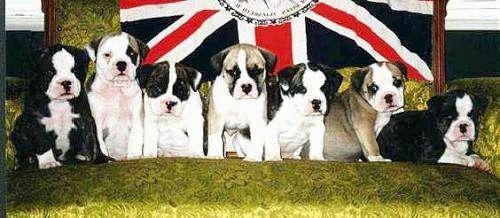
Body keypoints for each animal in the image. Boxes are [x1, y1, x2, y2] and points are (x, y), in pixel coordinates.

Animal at [84, 31, 149, 160]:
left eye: (132, 53)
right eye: (107, 55)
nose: (121, 64)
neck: (117, 89)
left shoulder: (137, 117)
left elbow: (135, 138)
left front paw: (134, 155)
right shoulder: (97, 121)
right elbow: (99, 143)